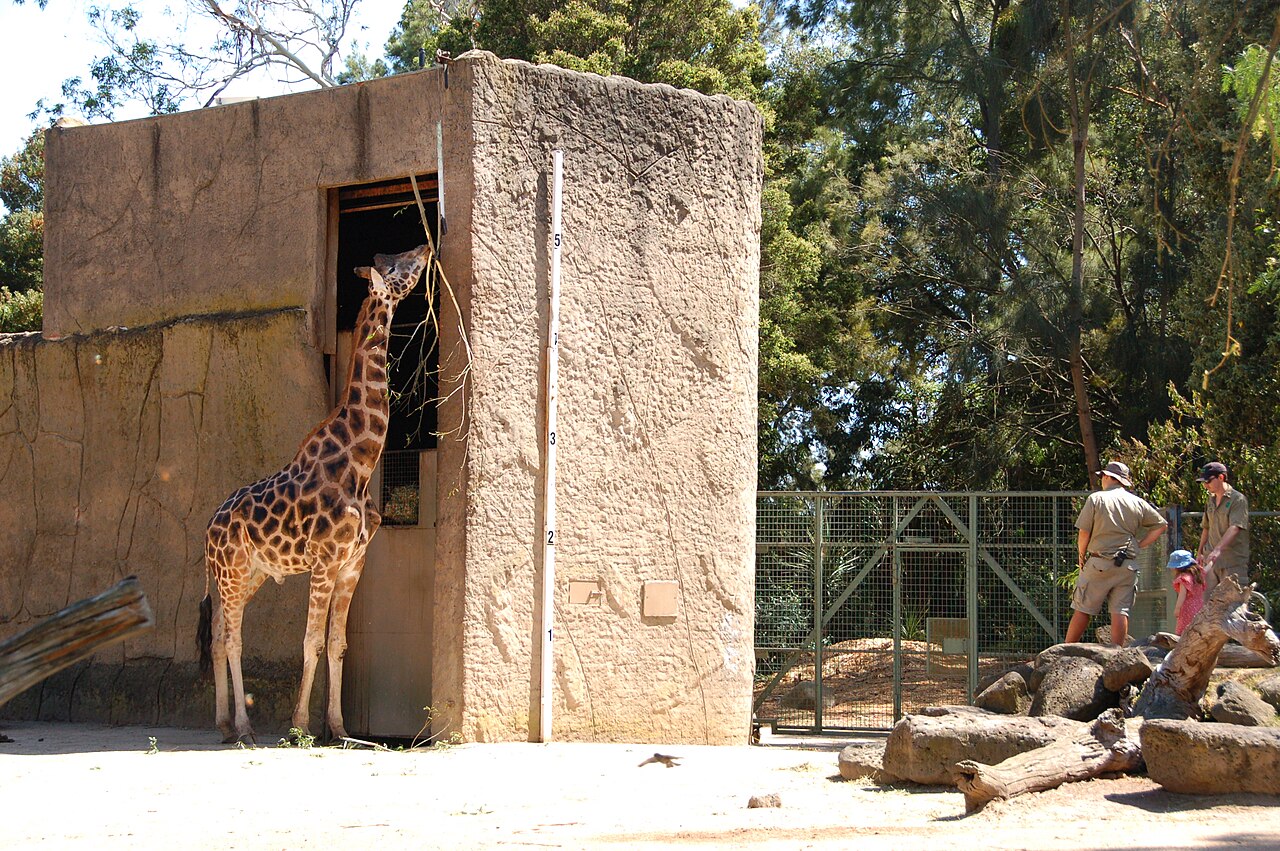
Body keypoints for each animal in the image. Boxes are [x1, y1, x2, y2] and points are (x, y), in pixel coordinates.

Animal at [197, 243, 431, 744]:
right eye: (396, 265)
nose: (424, 246)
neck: (361, 461)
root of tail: (207, 528)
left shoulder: (352, 564)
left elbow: (338, 643)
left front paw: (339, 728)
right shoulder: (324, 562)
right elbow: (311, 641)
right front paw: (300, 725)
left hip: (248, 574)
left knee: (218, 634)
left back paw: (224, 723)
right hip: (232, 571)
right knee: (232, 637)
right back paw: (243, 726)